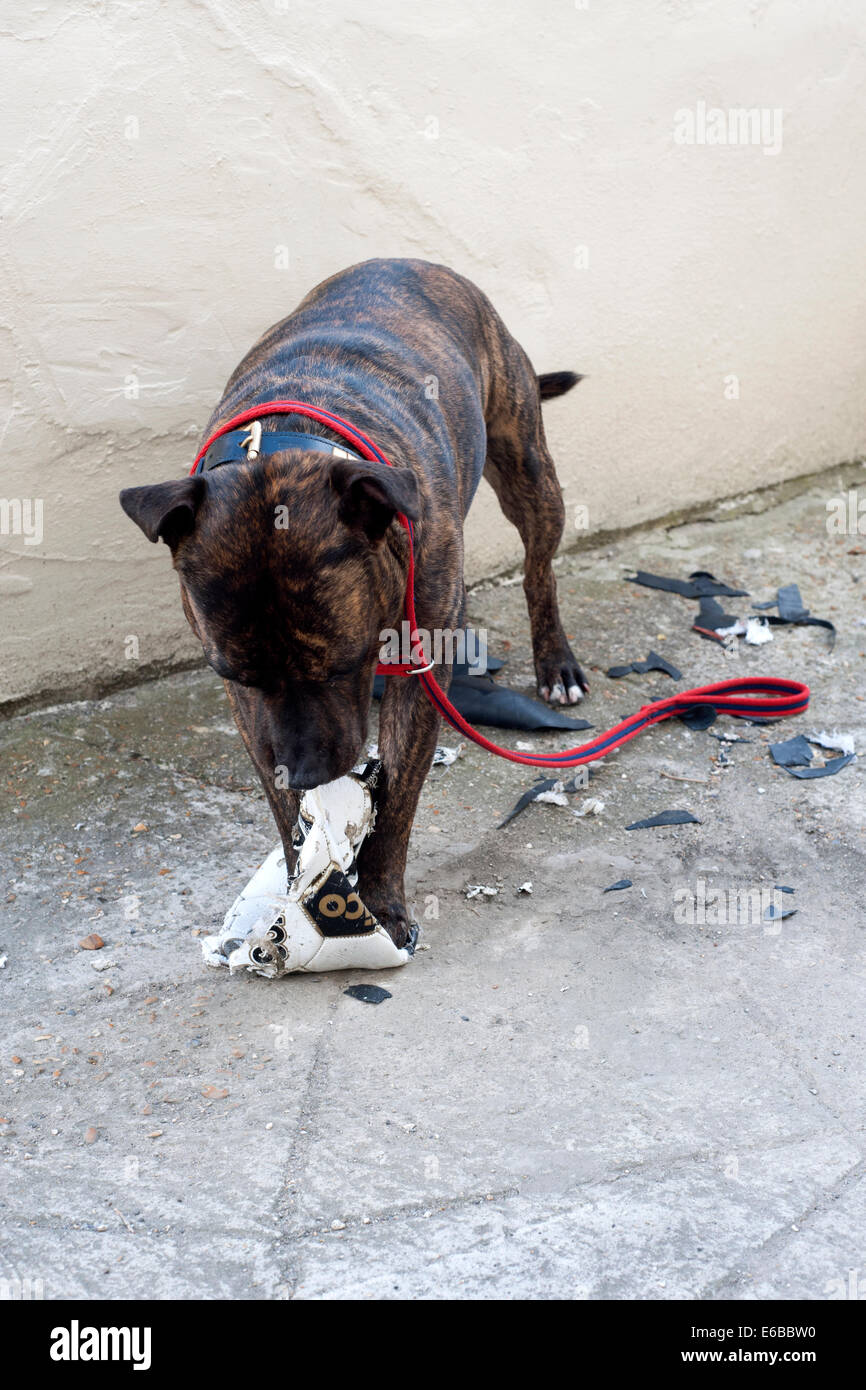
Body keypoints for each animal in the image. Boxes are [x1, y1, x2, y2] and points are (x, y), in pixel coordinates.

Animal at [118, 261, 586, 945]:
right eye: (238, 674)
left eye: (342, 665)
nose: (308, 772)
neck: (287, 448)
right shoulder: (246, 707)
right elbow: (285, 808)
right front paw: (301, 888)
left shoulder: (416, 671)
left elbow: (397, 794)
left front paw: (382, 902)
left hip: (527, 467)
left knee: (538, 571)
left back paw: (557, 664)